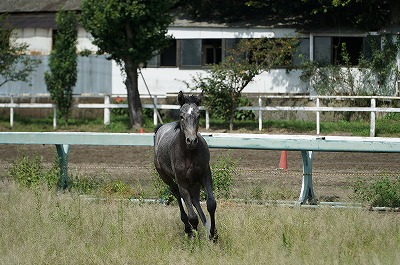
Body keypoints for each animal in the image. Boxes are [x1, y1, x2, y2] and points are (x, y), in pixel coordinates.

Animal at [153, 91, 217, 239]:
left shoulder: (205, 174)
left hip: (194, 181)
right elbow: (192, 216)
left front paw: (213, 234)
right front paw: (194, 237)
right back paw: (188, 229)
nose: (192, 140)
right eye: (181, 116)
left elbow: (211, 204)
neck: (189, 154)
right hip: (167, 178)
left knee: (195, 199)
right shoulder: (182, 181)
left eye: (198, 115)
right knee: (177, 194)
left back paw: (206, 227)